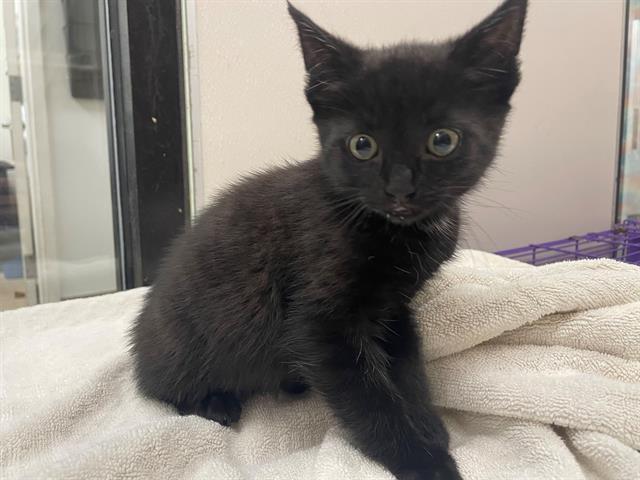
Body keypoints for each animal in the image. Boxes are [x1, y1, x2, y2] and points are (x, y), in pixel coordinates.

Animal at [130, 1, 524, 478]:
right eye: (361, 145)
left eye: (442, 140)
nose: (400, 189)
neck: (392, 227)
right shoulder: (320, 322)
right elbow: (369, 399)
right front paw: (425, 462)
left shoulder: (394, 308)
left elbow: (407, 367)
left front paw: (430, 427)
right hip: (183, 350)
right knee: (166, 391)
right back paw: (215, 402)